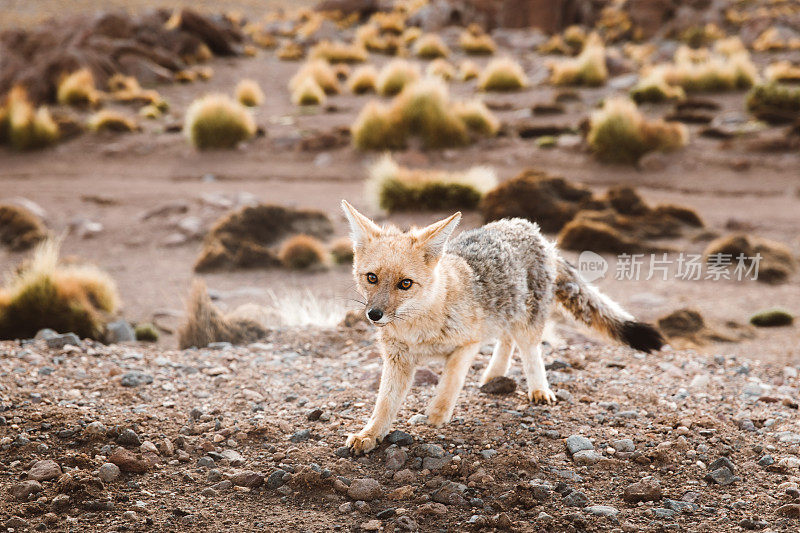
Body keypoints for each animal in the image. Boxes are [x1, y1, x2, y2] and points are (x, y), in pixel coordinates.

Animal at [342, 200, 664, 454]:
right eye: (371, 278)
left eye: (405, 284)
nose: (374, 315)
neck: (418, 329)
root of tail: (529, 228)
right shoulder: (398, 358)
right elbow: (385, 403)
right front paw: (370, 434)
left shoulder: (466, 346)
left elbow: (448, 385)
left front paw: (434, 417)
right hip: (505, 315)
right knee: (506, 339)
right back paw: (494, 374)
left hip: (527, 322)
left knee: (529, 350)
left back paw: (539, 389)